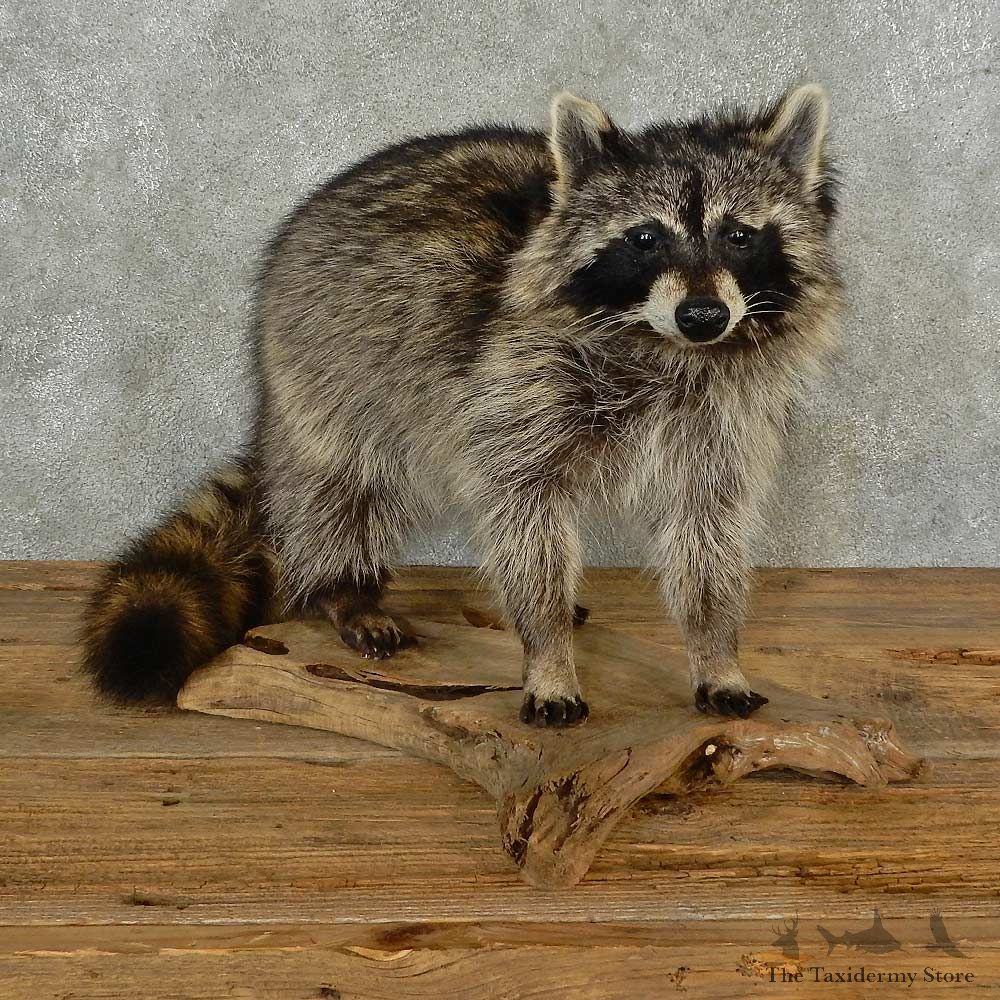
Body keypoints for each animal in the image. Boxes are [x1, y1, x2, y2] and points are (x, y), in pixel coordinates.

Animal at [82, 83, 842, 727]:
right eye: (646, 237)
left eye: (740, 235)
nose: (704, 315)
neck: (663, 347)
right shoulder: (515, 384)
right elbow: (522, 515)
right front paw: (547, 653)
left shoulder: (720, 420)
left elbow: (707, 530)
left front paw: (715, 649)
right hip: (327, 361)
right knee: (339, 485)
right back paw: (343, 587)